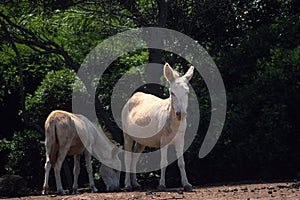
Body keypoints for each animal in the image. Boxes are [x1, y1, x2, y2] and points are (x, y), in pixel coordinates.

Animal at [122, 63, 195, 191]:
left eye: (187, 92)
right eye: (172, 93)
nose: (180, 114)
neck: (174, 125)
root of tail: (132, 97)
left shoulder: (180, 140)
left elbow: (181, 163)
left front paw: (187, 184)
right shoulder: (163, 140)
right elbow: (163, 162)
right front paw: (161, 185)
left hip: (141, 141)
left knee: (134, 159)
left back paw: (136, 184)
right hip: (127, 135)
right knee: (127, 158)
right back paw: (127, 185)